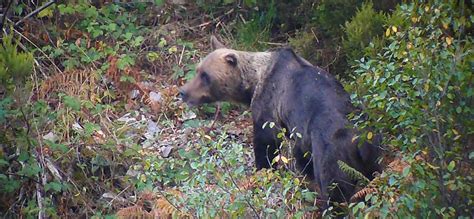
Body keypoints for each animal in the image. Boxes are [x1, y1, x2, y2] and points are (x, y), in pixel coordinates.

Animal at [179, 36, 382, 209]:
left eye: (205, 75)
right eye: (198, 70)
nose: (183, 92)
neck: (253, 82)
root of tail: (358, 142)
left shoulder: (269, 103)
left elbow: (266, 141)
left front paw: (261, 171)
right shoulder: (300, 131)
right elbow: (300, 154)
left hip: (332, 153)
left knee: (334, 190)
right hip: (373, 154)